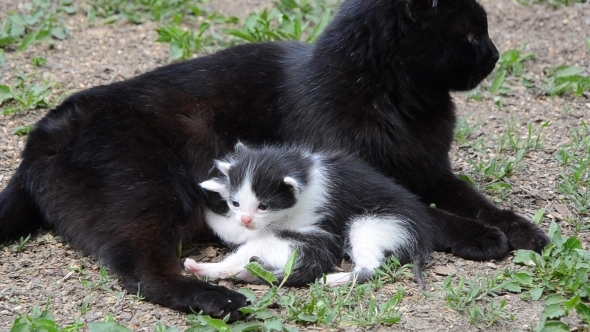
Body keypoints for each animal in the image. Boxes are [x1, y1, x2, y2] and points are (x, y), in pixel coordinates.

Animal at [187, 143, 438, 288]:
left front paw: (203, 204)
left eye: (264, 206)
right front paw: (218, 186)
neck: (304, 170)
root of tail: (422, 236)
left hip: (374, 223)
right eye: (236, 203)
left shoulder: (296, 217)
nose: (246, 219)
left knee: (370, 267)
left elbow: (235, 231)